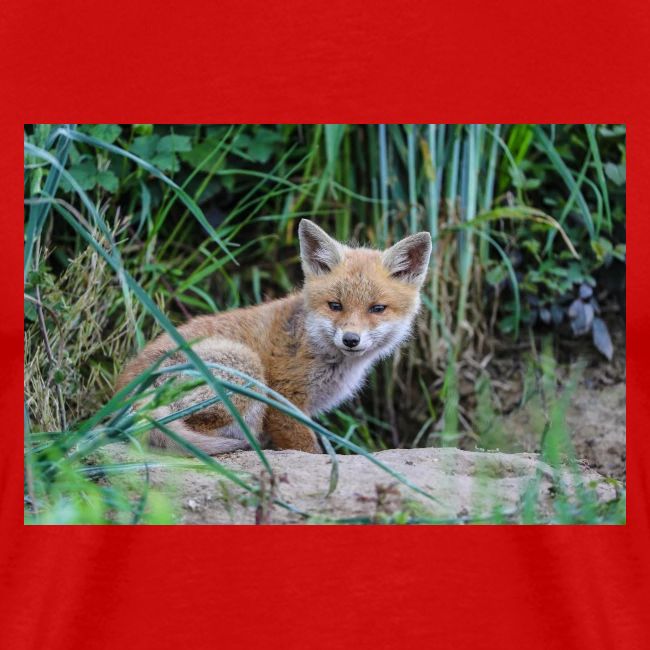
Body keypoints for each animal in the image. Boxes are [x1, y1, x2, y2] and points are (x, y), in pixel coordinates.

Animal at [116, 219, 432, 455]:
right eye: (335, 305)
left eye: (377, 309)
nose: (351, 339)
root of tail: (124, 395)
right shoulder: (283, 401)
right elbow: (308, 449)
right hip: (246, 368)